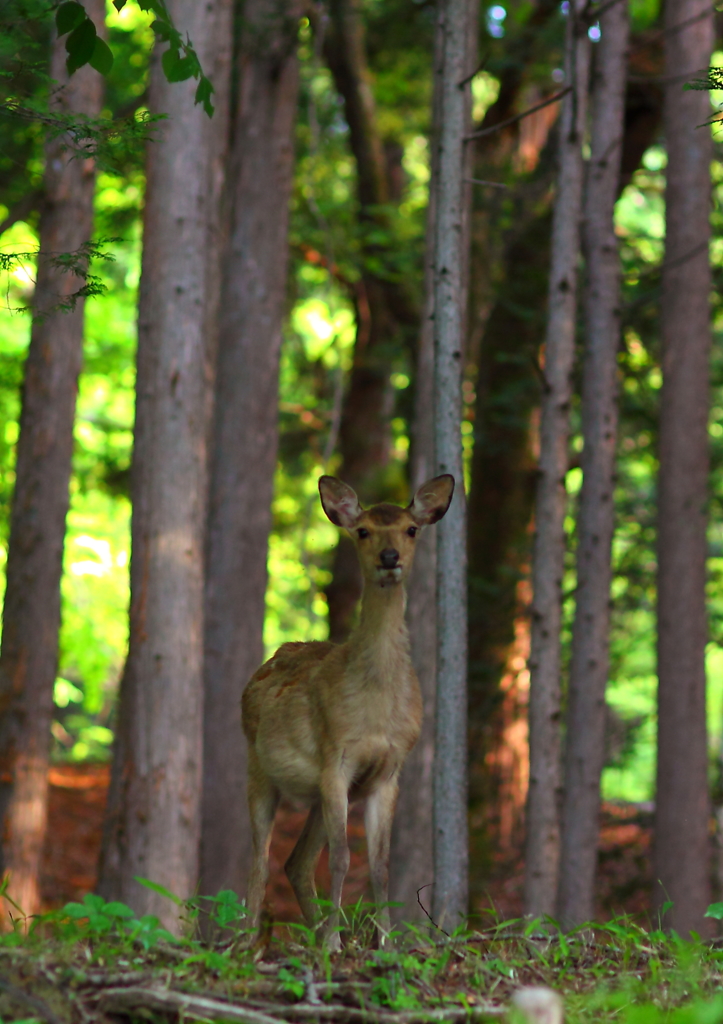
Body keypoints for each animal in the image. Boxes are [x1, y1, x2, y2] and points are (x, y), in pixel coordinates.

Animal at [239, 473, 452, 950]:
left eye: (412, 529)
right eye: (364, 531)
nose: (390, 558)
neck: (375, 708)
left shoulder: (388, 770)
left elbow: (380, 866)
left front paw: (384, 943)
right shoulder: (335, 756)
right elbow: (341, 858)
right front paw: (335, 945)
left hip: (319, 796)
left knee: (295, 862)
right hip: (258, 767)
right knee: (260, 861)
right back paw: (247, 940)